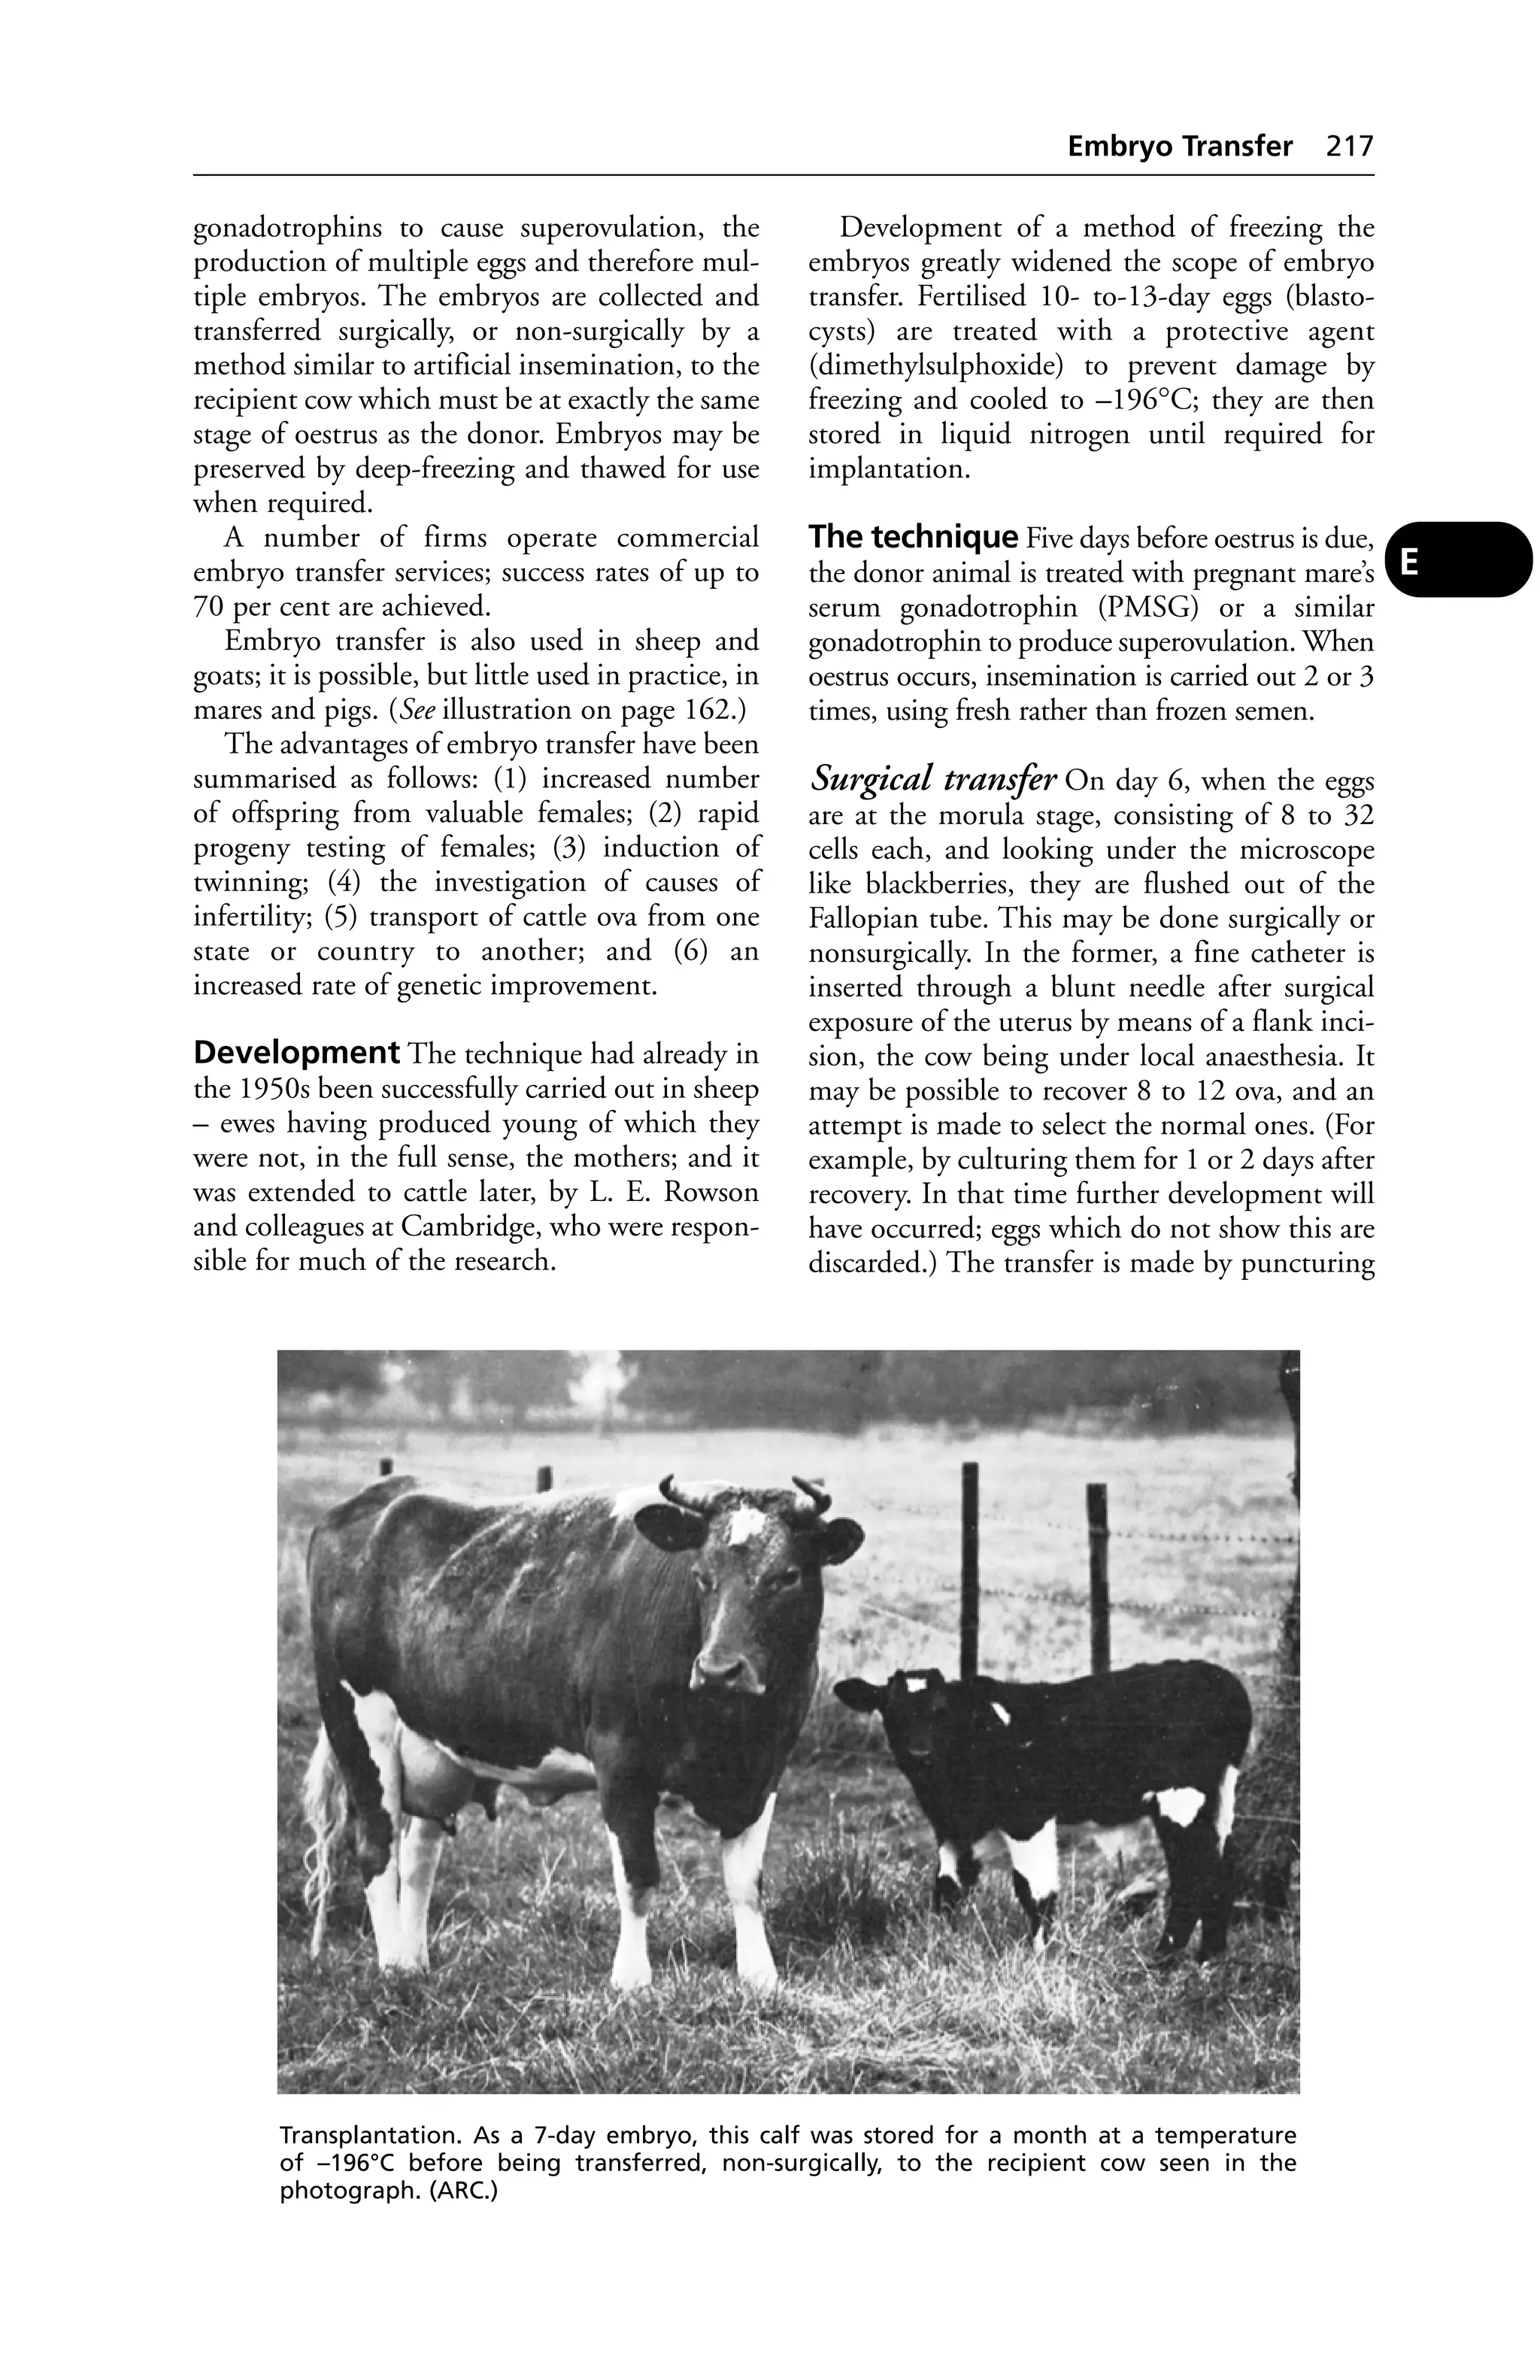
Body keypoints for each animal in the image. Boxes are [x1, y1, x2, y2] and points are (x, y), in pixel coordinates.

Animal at [303, 1470, 864, 1993]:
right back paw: (394, 1967)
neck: (730, 1731)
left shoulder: (765, 1772)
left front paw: (759, 1977)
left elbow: (746, 1882)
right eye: (702, 1576)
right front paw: (632, 1980)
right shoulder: (621, 1765)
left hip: (437, 1750)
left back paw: (416, 1964)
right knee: (376, 1849)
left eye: (788, 1576)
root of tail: (371, 1497)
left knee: (419, 1859)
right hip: (358, 1726)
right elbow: (638, 1877)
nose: (720, 1669)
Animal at [832, 1659, 1251, 1962]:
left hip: (1180, 1798)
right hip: (1221, 1794)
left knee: (1193, 1872)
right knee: (1225, 1864)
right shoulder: (954, 1828)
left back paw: (1164, 1957)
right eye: (892, 1712)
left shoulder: (1028, 1817)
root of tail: (1216, 1676)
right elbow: (949, 1888)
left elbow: (1034, 1890)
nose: (919, 1753)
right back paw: (1209, 1956)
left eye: (941, 1711)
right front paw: (939, 1944)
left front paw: (1040, 1956)